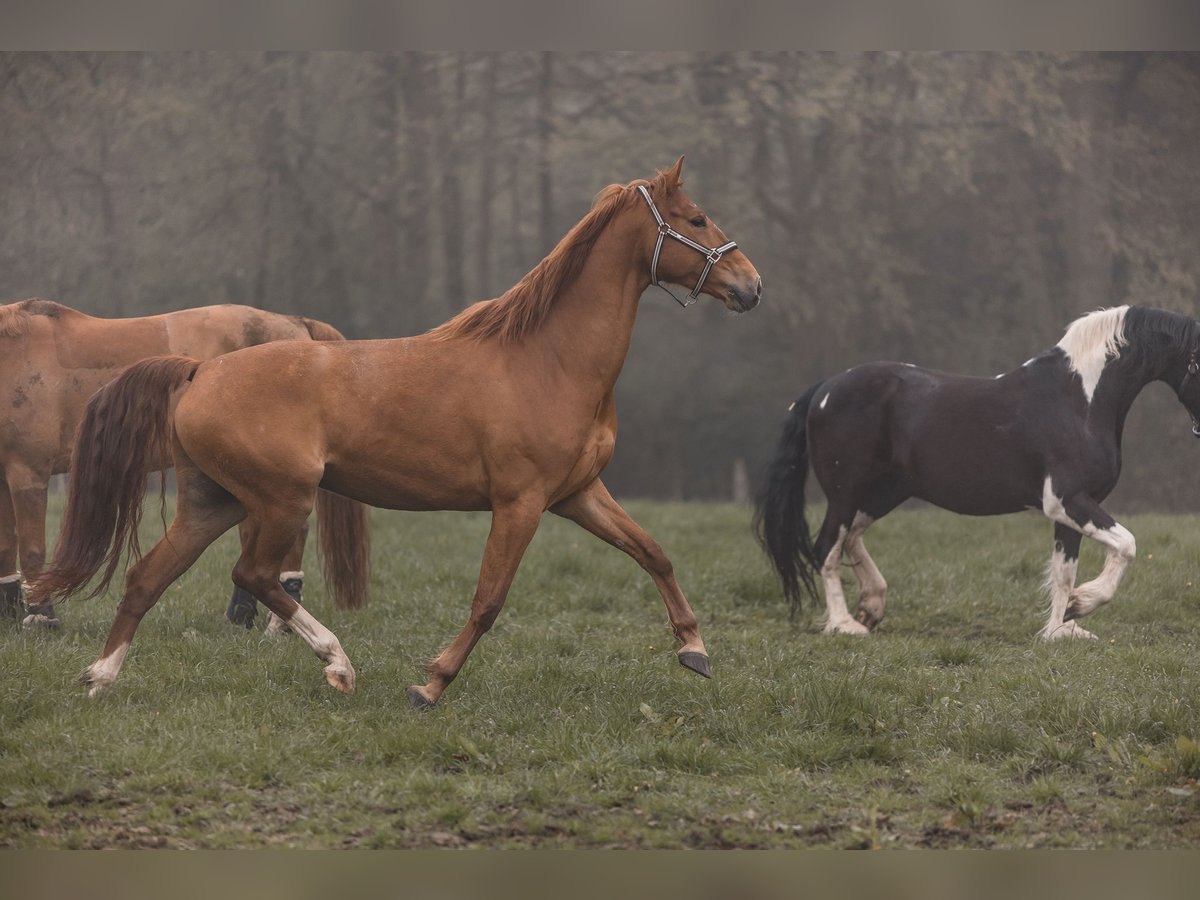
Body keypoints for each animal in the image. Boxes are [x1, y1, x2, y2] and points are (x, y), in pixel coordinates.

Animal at [0, 300, 350, 628]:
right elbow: (6, 548)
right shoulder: (4, 478)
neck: (14, 355)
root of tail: (295, 322)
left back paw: (277, 624)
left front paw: (41, 618)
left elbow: (32, 550)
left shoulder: (29, 472)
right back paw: (239, 618)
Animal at [42, 158, 763, 710]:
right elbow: (489, 600)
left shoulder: (578, 494)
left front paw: (694, 650)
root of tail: (199, 371)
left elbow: (654, 554)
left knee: (147, 577)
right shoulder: (521, 503)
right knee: (253, 575)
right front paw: (430, 685)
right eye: (697, 219)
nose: (751, 286)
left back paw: (101, 678)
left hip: (213, 503)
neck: (547, 358)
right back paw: (338, 664)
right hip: (279, 500)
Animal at [758, 309, 1200, 643]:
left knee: (850, 538)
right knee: (827, 547)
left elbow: (1064, 571)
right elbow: (1126, 545)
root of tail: (824, 390)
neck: (1080, 399)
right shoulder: (1068, 499)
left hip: (884, 492)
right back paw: (845, 625)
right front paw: (1081, 604)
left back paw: (872, 605)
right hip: (845, 492)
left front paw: (1061, 630)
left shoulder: (1071, 509)